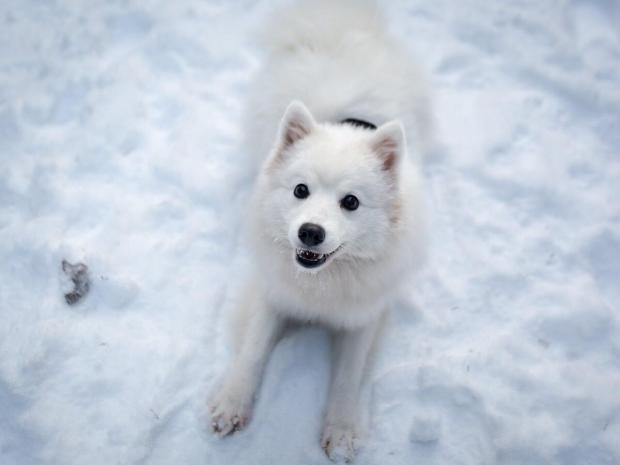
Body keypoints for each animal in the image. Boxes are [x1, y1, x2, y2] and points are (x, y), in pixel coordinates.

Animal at [209, 0, 432, 460]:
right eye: (300, 190)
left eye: (351, 202)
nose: (310, 232)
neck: (321, 283)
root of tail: (340, 28)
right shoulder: (271, 294)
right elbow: (252, 351)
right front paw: (231, 404)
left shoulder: (364, 316)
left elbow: (348, 377)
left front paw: (342, 432)